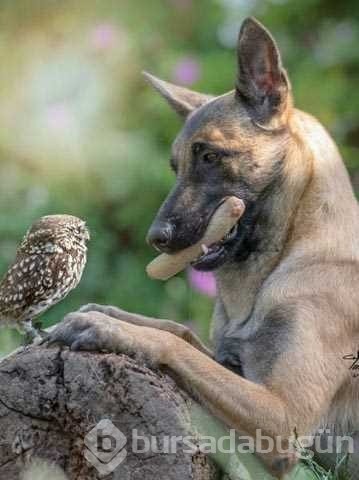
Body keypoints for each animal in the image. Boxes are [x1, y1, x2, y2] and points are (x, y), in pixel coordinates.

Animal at [47, 17, 359, 476]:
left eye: (210, 156)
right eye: (175, 166)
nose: (155, 237)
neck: (289, 257)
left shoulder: (283, 418)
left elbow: (178, 345)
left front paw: (109, 328)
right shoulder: (236, 368)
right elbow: (181, 331)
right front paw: (112, 314)